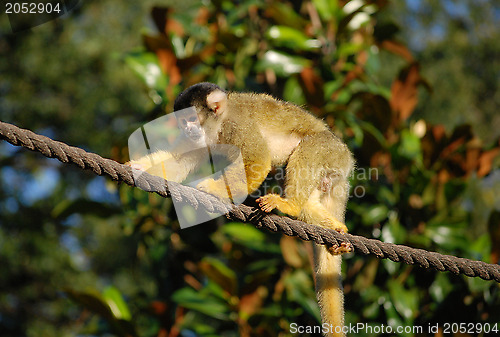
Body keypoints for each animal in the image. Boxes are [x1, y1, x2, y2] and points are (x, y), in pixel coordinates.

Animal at [129, 80, 356, 334]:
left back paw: (291, 206)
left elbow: (258, 159)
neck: (217, 125)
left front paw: (216, 189)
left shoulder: (237, 125)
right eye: (183, 121)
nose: (187, 129)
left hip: (330, 151)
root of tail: (346, 159)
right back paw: (332, 228)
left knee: (308, 150)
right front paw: (138, 168)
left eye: (192, 119)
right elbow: (178, 162)